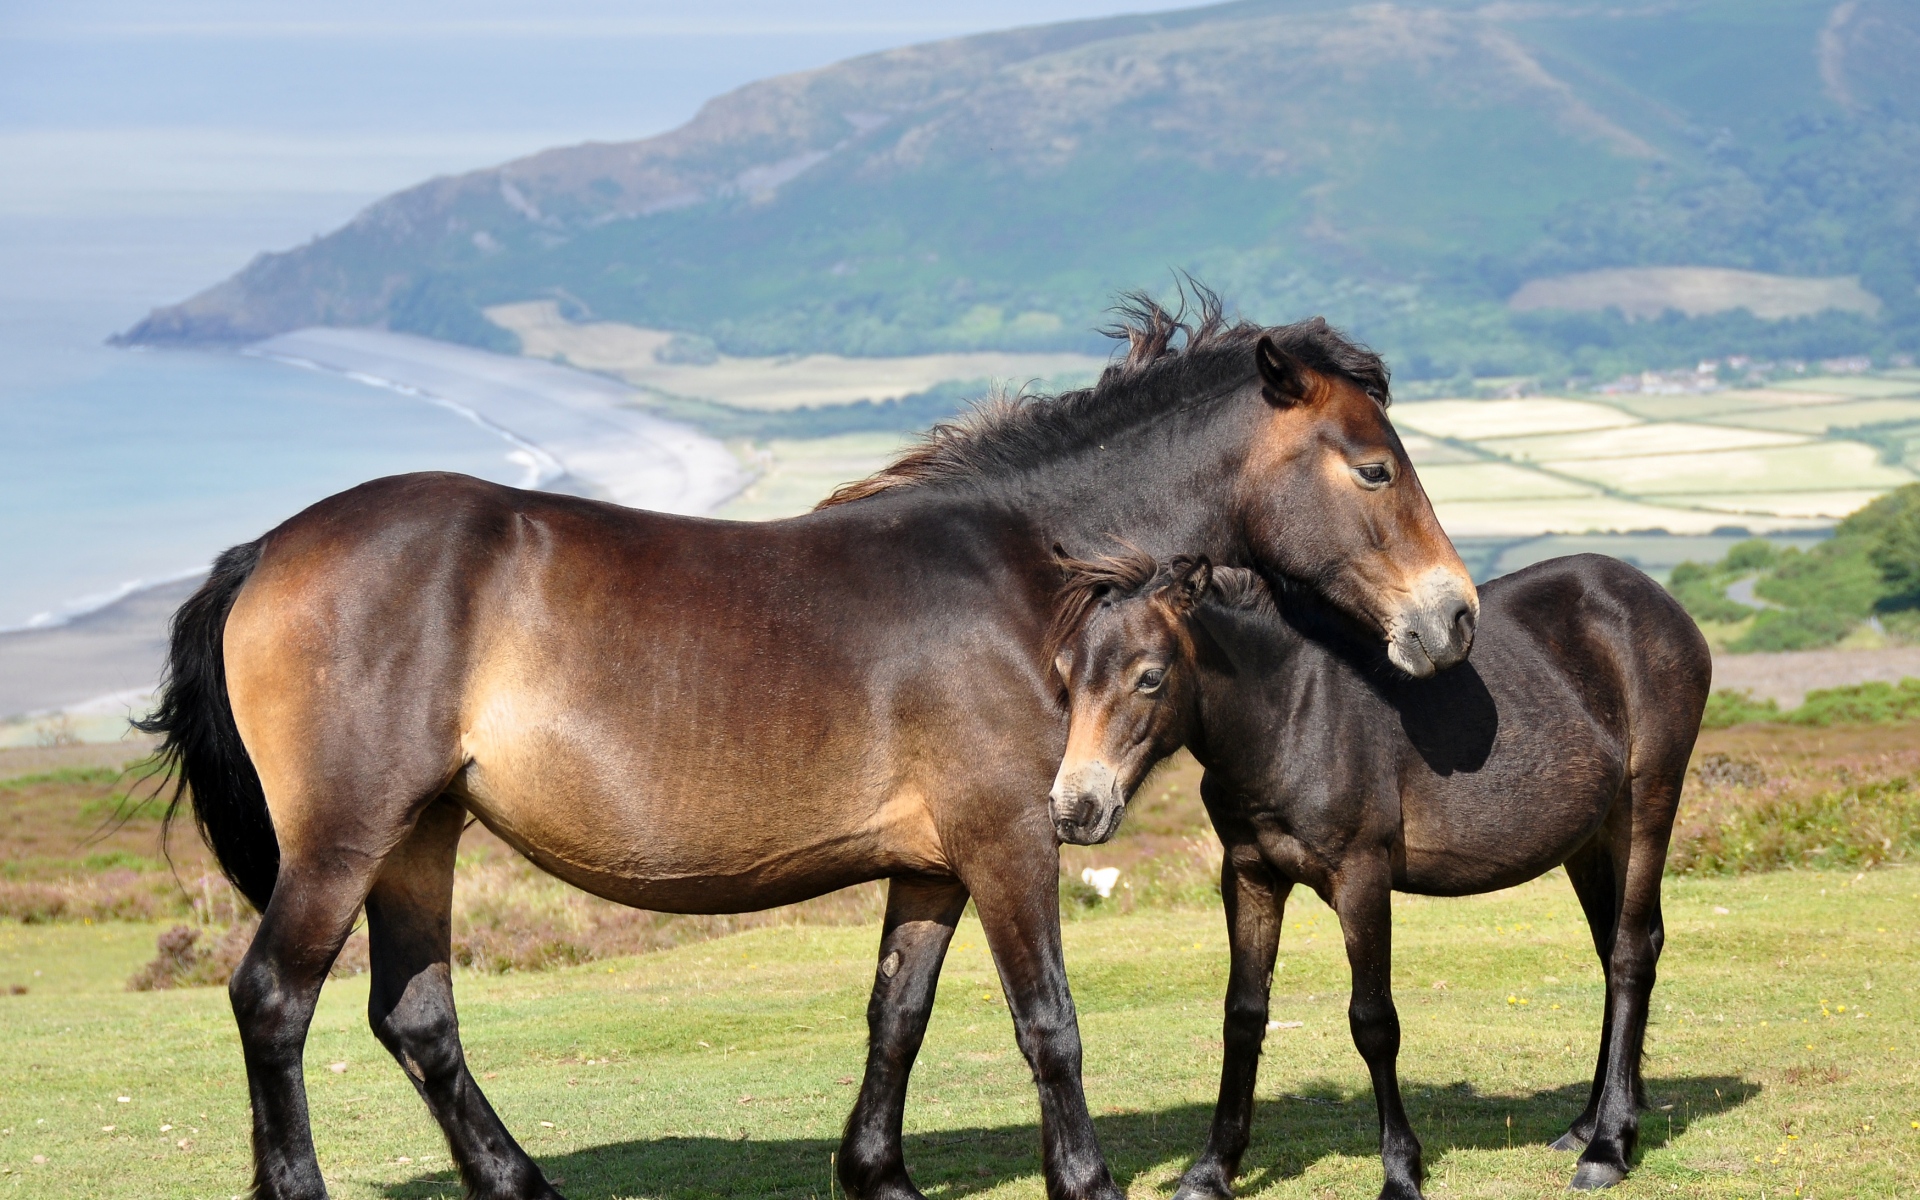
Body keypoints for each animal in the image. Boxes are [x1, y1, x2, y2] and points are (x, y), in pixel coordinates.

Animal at [137, 293, 1480, 1200]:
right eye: (1374, 467)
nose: (1452, 615)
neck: (1026, 573)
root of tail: (267, 549)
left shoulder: (935, 862)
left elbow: (899, 1015)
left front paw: (876, 1170)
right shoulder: (1011, 837)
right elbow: (1047, 1020)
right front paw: (1086, 1178)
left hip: (421, 833)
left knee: (416, 1020)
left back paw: (521, 1181)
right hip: (348, 837)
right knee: (273, 1001)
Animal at [1045, 551, 1709, 1197]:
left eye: (1150, 676)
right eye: (1064, 673)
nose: (1075, 810)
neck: (1293, 715)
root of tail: (1657, 600)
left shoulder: (1361, 879)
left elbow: (1373, 1022)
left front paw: (1401, 1170)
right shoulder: (1251, 876)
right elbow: (1243, 1016)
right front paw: (1211, 1171)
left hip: (1646, 805)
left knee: (1630, 955)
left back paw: (1608, 1148)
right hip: (1589, 840)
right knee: (1613, 950)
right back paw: (1587, 1125)